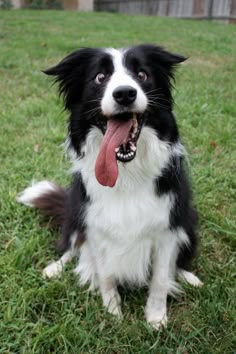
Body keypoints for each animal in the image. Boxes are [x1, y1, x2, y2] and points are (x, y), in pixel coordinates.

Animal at [17, 44, 202, 330]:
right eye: (100, 77)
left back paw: (188, 276)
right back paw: (54, 268)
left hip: (188, 219)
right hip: (75, 213)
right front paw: (112, 310)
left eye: (142, 74)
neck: (126, 172)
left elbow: (160, 278)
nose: (125, 93)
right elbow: (105, 274)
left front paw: (156, 318)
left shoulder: (168, 226)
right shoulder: (95, 224)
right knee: (72, 244)